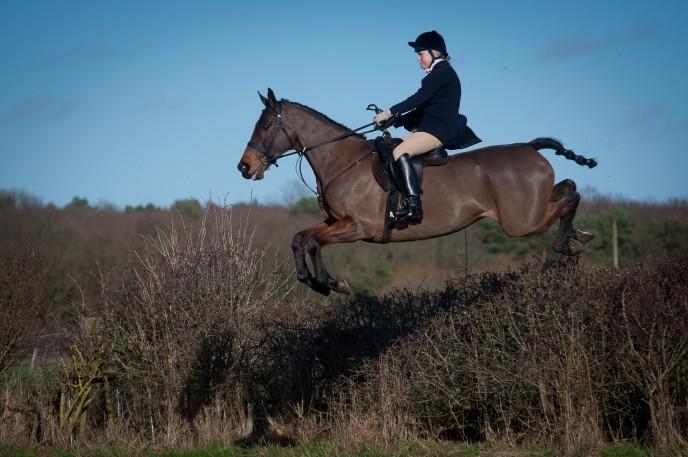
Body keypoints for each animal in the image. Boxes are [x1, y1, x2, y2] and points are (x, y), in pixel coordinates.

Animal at [236, 88, 596, 296]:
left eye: (265, 126)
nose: (244, 167)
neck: (343, 160)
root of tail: (530, 147)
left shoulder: (357, 227)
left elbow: (312, 243)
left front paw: (332, 283)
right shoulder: (335, 222)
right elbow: (300, 238)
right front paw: (311, 281)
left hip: (521, 222)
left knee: (569, 196)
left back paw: (570, 242)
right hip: (528, 214)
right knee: (568, 188)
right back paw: (579, 236)